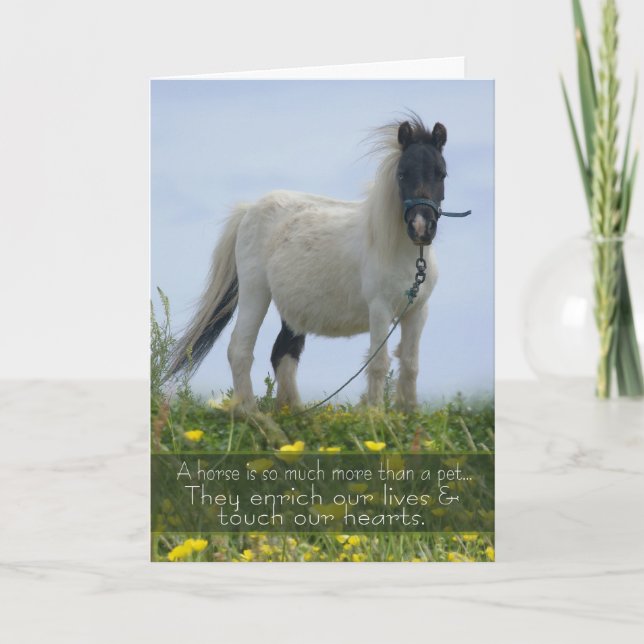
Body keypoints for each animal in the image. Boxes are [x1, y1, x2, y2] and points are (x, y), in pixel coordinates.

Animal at [168, 115, 451, 414]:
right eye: (402, 174)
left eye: (441, 173)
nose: (421, 227)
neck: (402, 252)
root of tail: (249, 210)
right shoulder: (380, 309)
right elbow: (378, 363)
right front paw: (375, 414)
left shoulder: (417, 311)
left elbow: (410, 363)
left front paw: (409, 413)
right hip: (255, 292)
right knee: (240, 350)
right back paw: (251, 413)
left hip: (291, 311)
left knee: (283, 353)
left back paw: (293, 411)